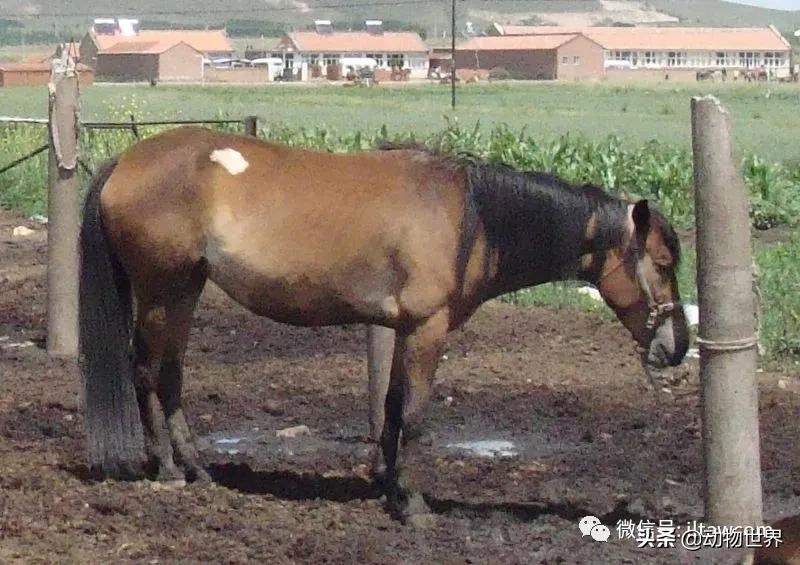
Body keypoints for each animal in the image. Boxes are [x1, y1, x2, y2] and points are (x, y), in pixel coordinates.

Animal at [79, 126, 689, 523]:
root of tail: (125, 161)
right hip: (160, 291)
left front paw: (390, 489)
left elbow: (394, 408)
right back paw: (166, 469)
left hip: (186, 290)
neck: (470, 218)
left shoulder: (403, 330)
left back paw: (199, 469)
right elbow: (415, 414)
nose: (678, 345)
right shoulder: (427, 329)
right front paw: (414, 505)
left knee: (171, 377)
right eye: (663, 263)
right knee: (145, 372)